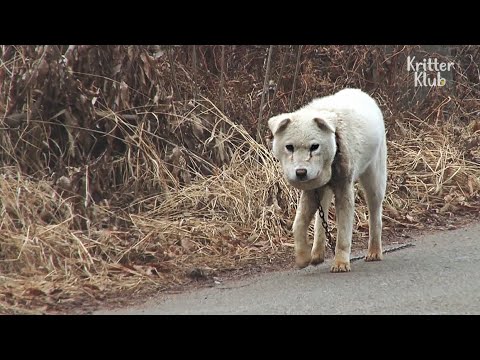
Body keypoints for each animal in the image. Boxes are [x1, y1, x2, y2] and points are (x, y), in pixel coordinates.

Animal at [268, 88, 388, 272]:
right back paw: (317, 254)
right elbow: (298, 223)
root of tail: (361, 92)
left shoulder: (344, 189)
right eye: (289, 147)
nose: (301, 173)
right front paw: (302, 257)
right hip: (324, 190)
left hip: (374, 176)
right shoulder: (311, 191)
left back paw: (374, 251)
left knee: (375, 213)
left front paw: (340, 263)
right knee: (321, 216)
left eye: (314, 146)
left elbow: (343, 233)